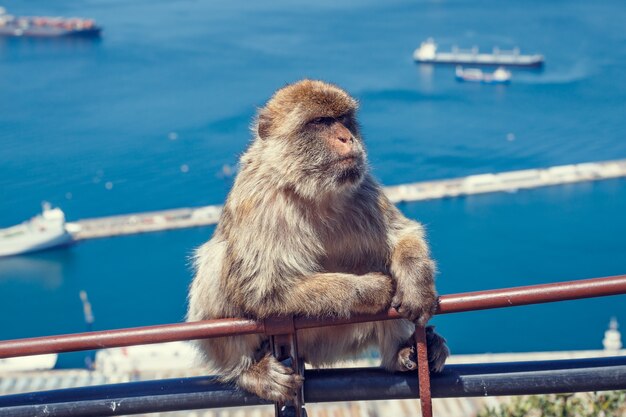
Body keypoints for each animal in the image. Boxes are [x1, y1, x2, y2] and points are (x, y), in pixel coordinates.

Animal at [185, 79, 448, 402]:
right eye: (321, 122)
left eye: (344, 119)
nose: (347, 137)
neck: (311, 190)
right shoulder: (260, 201)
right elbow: (264, 288)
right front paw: (373, 288)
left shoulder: (364, 188)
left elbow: (401, 235)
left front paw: (416, 284)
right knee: (215, 261)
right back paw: (246, 371)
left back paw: (402, 353)